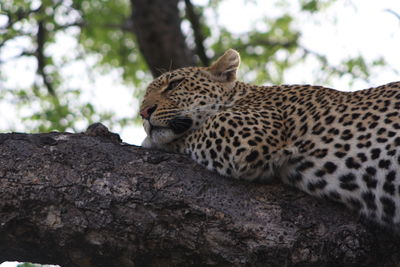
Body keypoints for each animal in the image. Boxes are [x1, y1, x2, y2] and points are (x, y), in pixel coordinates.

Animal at [141, 47, 400, 230]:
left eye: (174, 84)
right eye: (143, 98)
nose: (143, 113)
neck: (244, 95)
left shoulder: (246, 133)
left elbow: (196, 130)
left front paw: (151, 142)